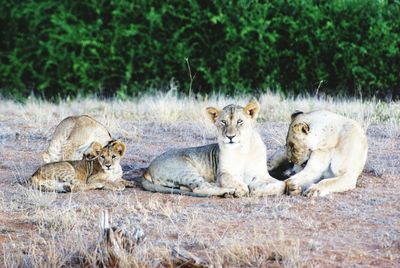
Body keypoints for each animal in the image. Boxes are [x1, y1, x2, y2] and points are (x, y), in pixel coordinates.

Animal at [141, 99, 284, 198]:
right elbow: (235, 182)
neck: (242, 149)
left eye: (239, 121)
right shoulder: (223, 173)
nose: (230, 137)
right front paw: (242, 190)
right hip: (185, 170)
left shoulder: (261, 174)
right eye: (223, 122)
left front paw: (257, 191)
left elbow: (281, 185)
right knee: (200, 187)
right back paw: (229, 191)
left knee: (188, 188)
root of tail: (148, 167)